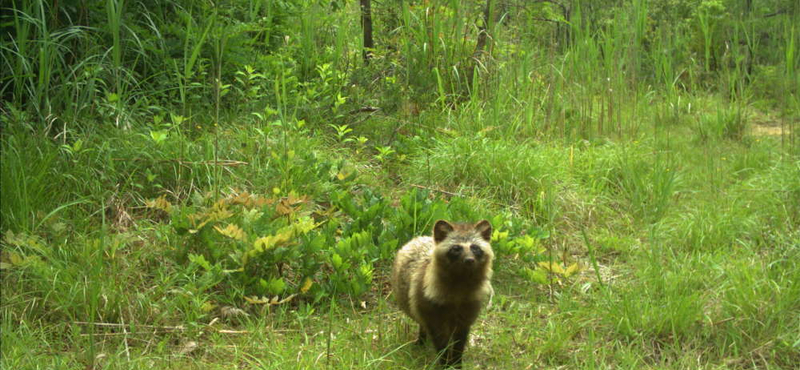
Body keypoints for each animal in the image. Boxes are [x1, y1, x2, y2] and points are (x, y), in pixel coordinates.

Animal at [390, 220, 490, 368]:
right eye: (456, 248)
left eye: (475, 248)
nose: (469, 260)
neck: (461, 281)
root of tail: (418, 238)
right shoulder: (431, 309)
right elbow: (440, 342)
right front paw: (445, 362)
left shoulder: (467, 310)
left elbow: (459, 342)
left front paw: (457, 362)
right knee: (422, 322)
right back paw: (422, 338)